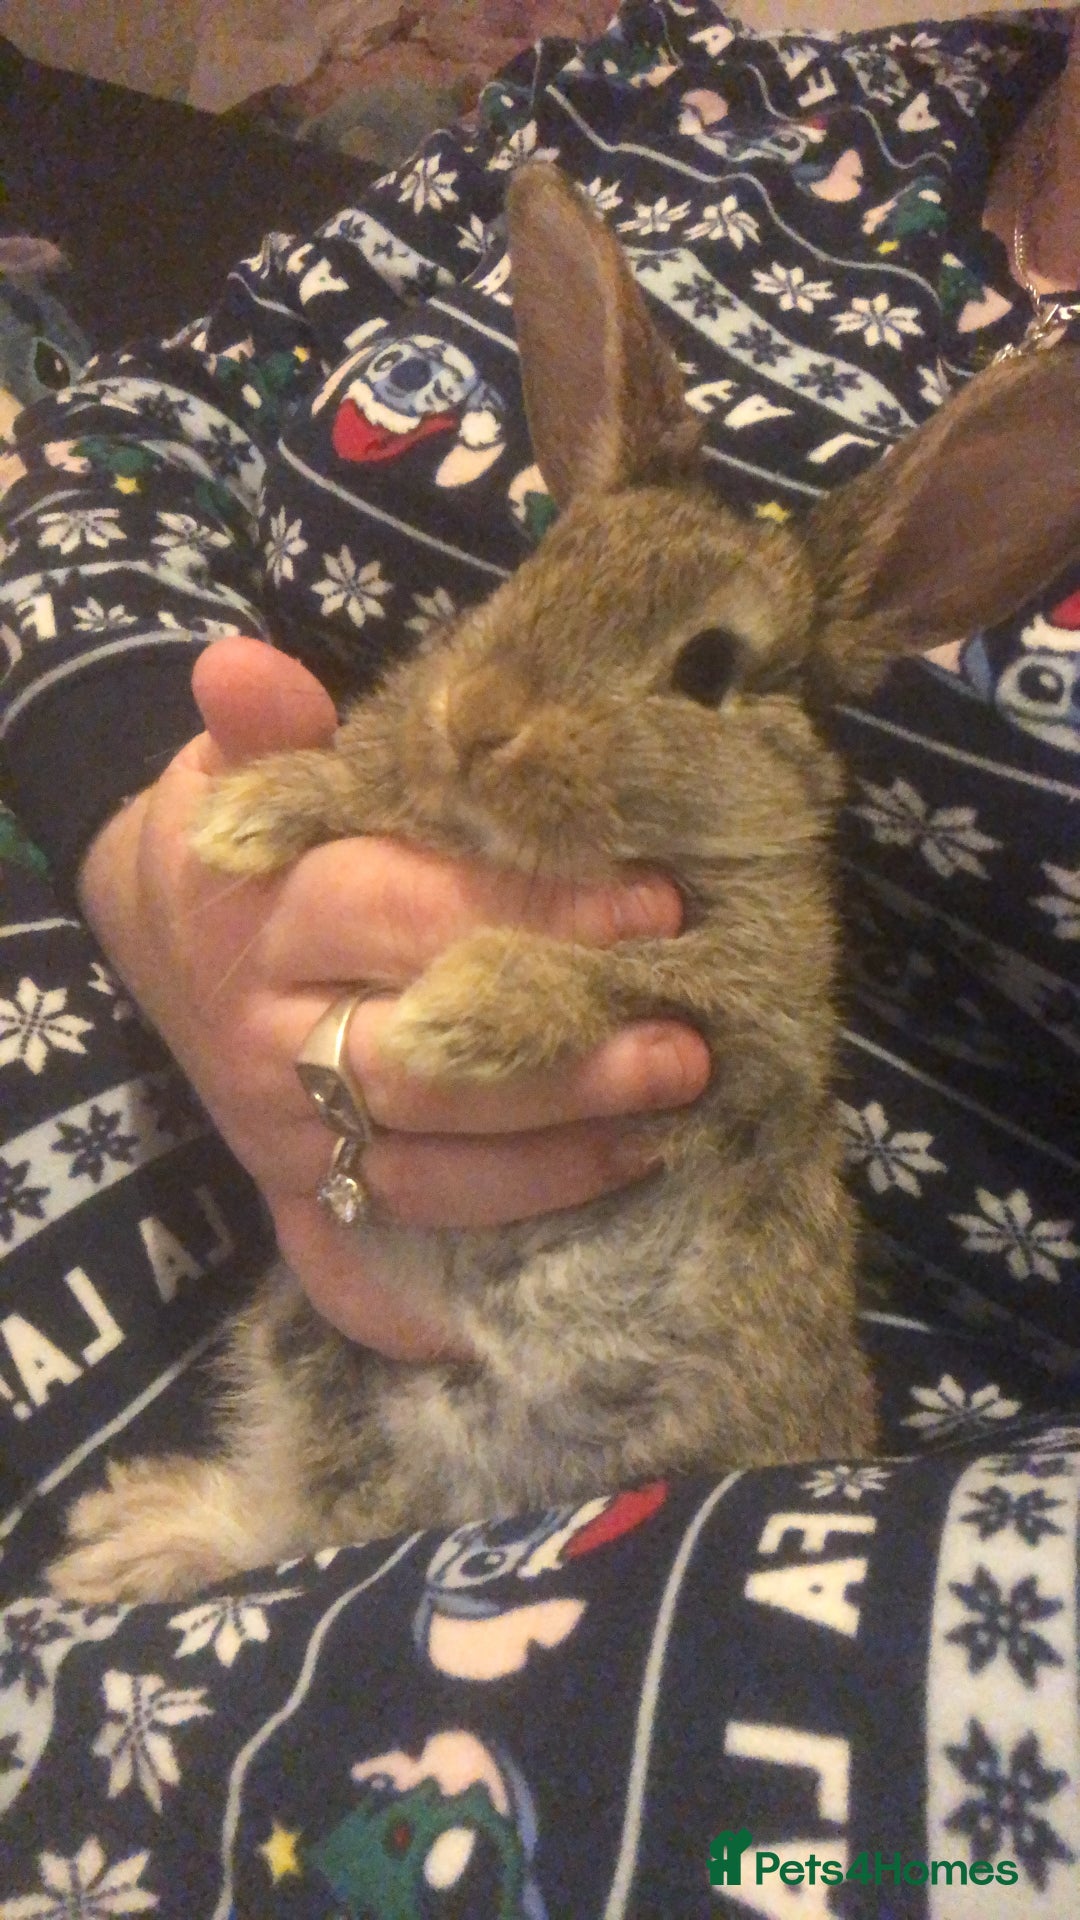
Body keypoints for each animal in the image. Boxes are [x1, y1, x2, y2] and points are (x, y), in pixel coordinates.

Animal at [49, 165, 1080, 1603]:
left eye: (709, 669)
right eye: (539, 572)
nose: (480, 720)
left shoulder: (745, 1014)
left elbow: (619, 975)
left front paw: (456, 1012)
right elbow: (359, 781)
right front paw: (251, 816)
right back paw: (132, 1539)